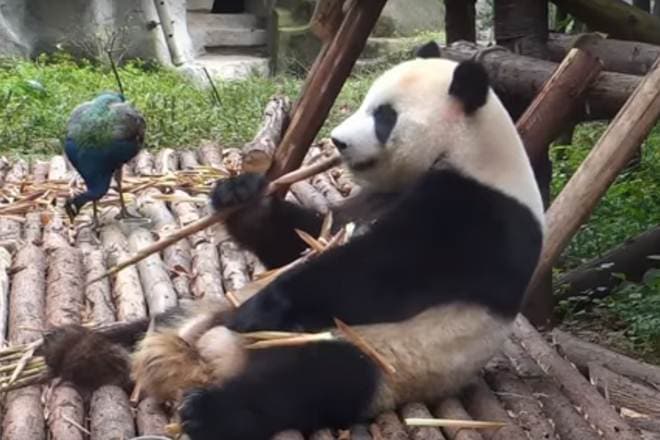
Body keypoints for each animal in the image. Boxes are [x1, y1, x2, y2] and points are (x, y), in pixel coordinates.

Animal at [41, 42, 544, 440]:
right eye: (366, 103)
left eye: (384, 117)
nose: (339, 142)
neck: (471, 152)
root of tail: (207, 361)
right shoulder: (367, 200)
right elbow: (303, 237)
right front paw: (239, 194)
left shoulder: (476, 214)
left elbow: (380, 271)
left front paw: (262, 309)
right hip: (200, 309)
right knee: (158, 321)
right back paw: (72, 345)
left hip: (383, 357)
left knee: (310, 380)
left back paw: (206, 409)